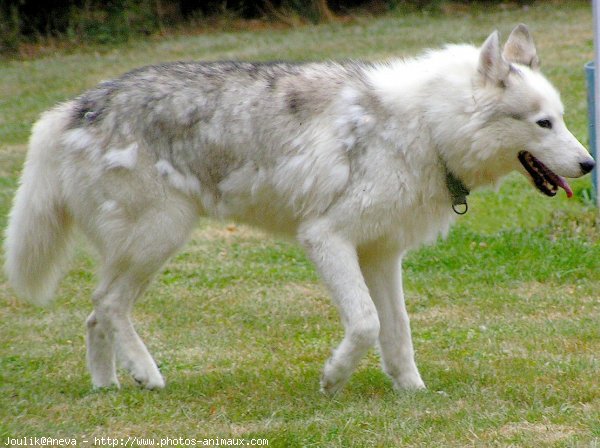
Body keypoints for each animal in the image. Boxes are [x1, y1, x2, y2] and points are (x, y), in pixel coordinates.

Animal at [4, 25, 596, 392]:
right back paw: (147, 376)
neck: (428, 127)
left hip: (142, 248)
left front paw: (412, 392)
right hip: (159, 239)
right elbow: (365, 324)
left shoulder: (381, 256)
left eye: (563, 118)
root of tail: (71, 109)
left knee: (93, 314)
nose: (590, 164)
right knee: (106, 305)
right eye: (543, 123)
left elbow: (397, 331)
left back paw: (108, 387)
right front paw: (334, 377)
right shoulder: (326, 240)